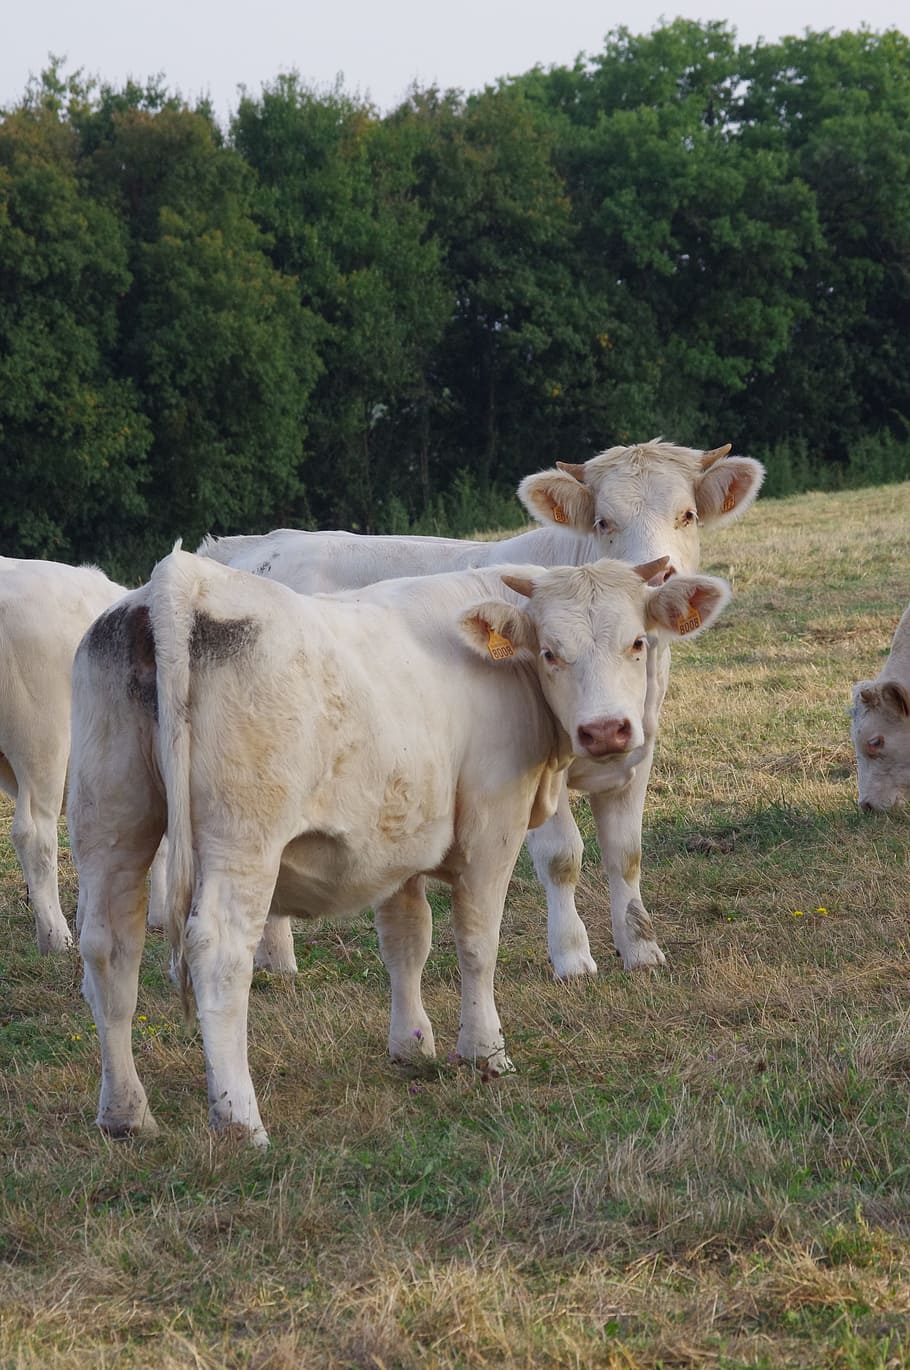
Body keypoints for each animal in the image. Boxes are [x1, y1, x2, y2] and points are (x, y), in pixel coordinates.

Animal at [69, 548, 732, 1145]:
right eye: (550, 651)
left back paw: (125, 1114)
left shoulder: (397, 838)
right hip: (242, 840)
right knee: (219, 953)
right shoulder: (493, 822)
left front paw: (413, 1047)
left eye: (637, 643)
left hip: (110, 825)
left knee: (109, 951)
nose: (606, 731)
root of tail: (183, 580)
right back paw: (239, 1120)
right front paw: (484, 1050)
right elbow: (476, 942)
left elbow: (407, 940)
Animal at [199, 439, 765, 978]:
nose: (657, 577)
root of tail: (234, 549)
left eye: (687, 514)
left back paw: (276, 960)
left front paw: (641, 949)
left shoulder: (636, 751)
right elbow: (562, 857)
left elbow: (626, 855)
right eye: (604, 521)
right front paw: (571, 956)